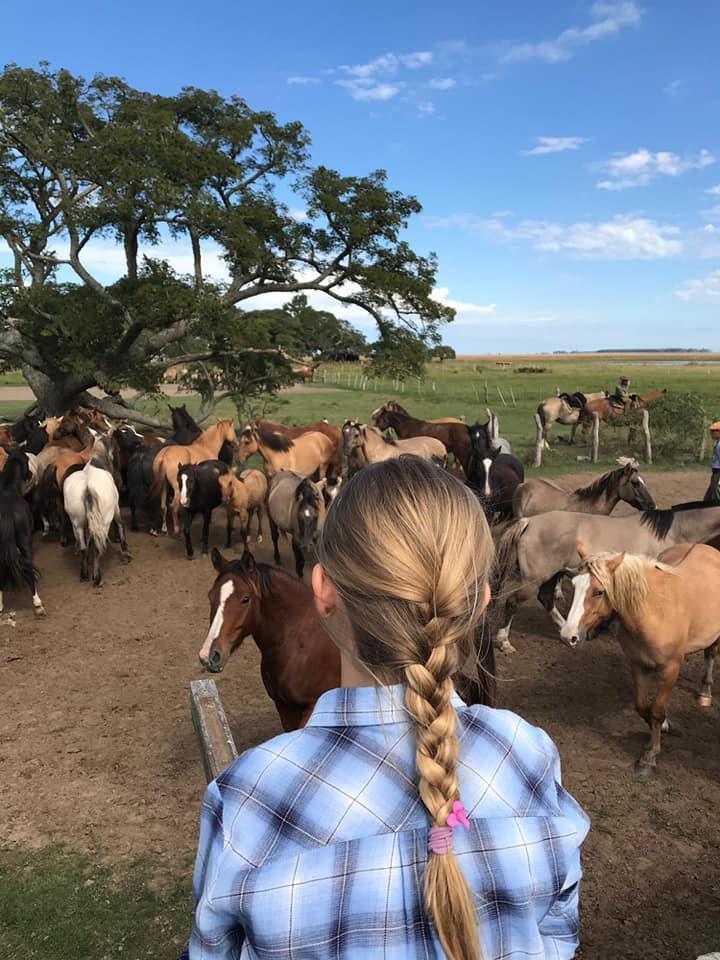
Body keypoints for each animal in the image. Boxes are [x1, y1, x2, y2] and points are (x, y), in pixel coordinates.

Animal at [197, 552, 498, 732]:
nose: (209, 654)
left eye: (245, 599)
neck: (297, 641)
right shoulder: (285, 708)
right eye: (210, 596)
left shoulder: (311, 706)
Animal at [492, 498, 720, 656]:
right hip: (534, 579)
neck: (672, 532)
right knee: (512, 602)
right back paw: (504, 642)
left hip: (551, 575)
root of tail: (529, 521)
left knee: (546, 598)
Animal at [564, 540, 720, 780]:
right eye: (574, 586)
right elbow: (642, 706)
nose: (568, 635)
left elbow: (656, 710)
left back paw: (705, 694)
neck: (655, 610)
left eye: (599, 592)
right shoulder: (638, 666)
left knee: (710, 654)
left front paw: (650, 756)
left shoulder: (670, 667)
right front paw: (661, 727)